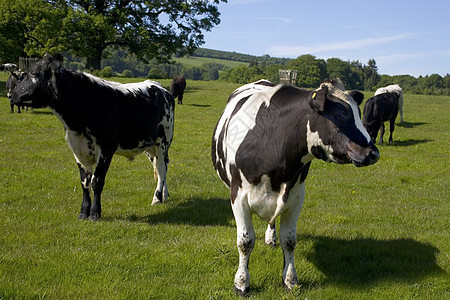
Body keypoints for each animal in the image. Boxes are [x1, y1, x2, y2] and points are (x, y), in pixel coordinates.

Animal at [12, 53, 174, 220]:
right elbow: (85, 182)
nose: (12, 94)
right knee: (160, 167)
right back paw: (164, 195)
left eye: (33, 73)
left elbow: (97, 181)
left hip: (163, 140)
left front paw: (95, 212)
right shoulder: (78, 149)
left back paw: (157, 198)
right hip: (149, 144)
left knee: (161, 168)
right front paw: (84, 212)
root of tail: (158, 86)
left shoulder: (106, 149)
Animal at [212, 78, 380, 296]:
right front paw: (241, 283)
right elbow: (245, 241)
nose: (373, 153)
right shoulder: (238, 197)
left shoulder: (295, 197)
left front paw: (290, 280)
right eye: (340, 114)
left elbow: (289, 241)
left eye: (358, 114)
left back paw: (271, 238)